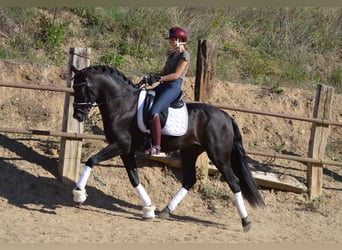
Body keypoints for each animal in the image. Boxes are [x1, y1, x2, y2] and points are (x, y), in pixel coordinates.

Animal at [71, 65, 266, 232]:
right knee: (190, 180)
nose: (77, 115)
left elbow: (91, 160)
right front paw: (149, 208)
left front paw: (79, 195)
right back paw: (166, 210)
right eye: (73, 87)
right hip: (190, 152)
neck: (123, 106)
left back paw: (245, 222)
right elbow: (134, 179)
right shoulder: (126, 151)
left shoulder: (120, 145)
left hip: (218, 156)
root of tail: (227, 117)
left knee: (234, 182)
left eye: (82, 89)